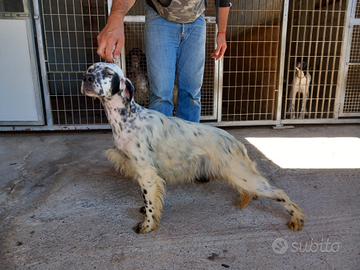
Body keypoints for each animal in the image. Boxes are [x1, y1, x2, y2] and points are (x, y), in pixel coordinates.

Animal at [80, 63, 306, 234]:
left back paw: (297, 218)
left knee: (279, 192)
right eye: (91, 68)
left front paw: (147, 225)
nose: (86, 77)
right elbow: (148, 200)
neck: (128, 118)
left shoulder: (146, 173)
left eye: (108, 73)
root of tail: (235, 141)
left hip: (241, 175)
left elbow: (150, 202)